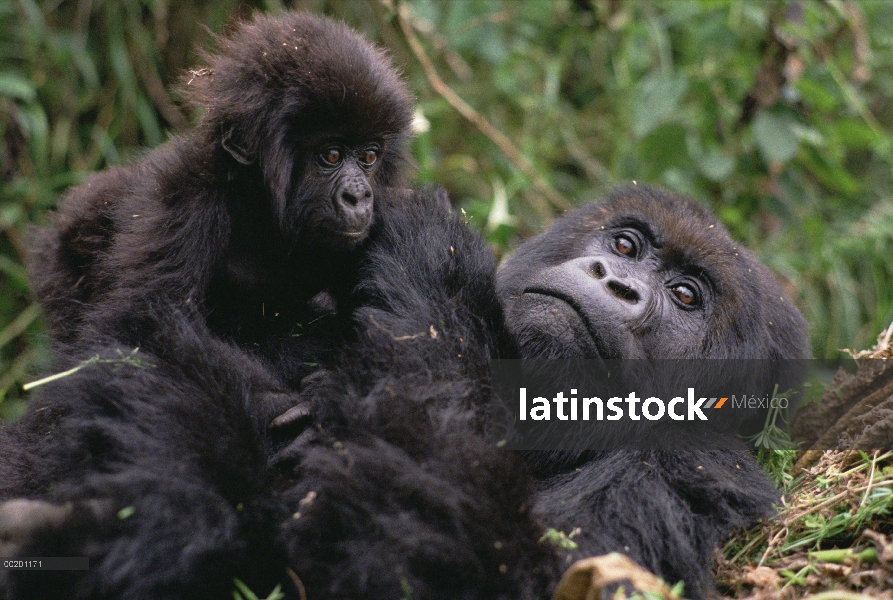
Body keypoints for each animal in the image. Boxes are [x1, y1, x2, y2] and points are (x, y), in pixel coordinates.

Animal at [28, 10, 414, 422]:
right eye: (331, 155)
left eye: (369, 156)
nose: (359, 196)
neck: (259, 207)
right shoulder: (182, 200)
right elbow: (134, 333)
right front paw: (278, 400)